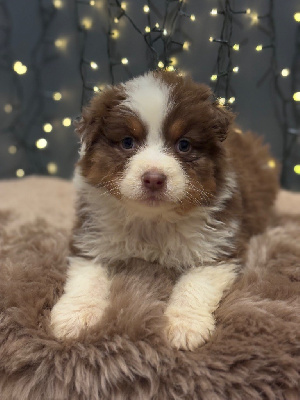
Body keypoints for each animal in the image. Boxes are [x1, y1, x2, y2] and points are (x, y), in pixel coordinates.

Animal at [51, 72, 278, 350]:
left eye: (184, 145)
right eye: (128, 142)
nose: (154, 179)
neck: (153, 221)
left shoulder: (217, 247)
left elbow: (194, 285)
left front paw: (185, 325)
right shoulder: (92, 235)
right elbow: (87, 277)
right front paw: (75, 315)